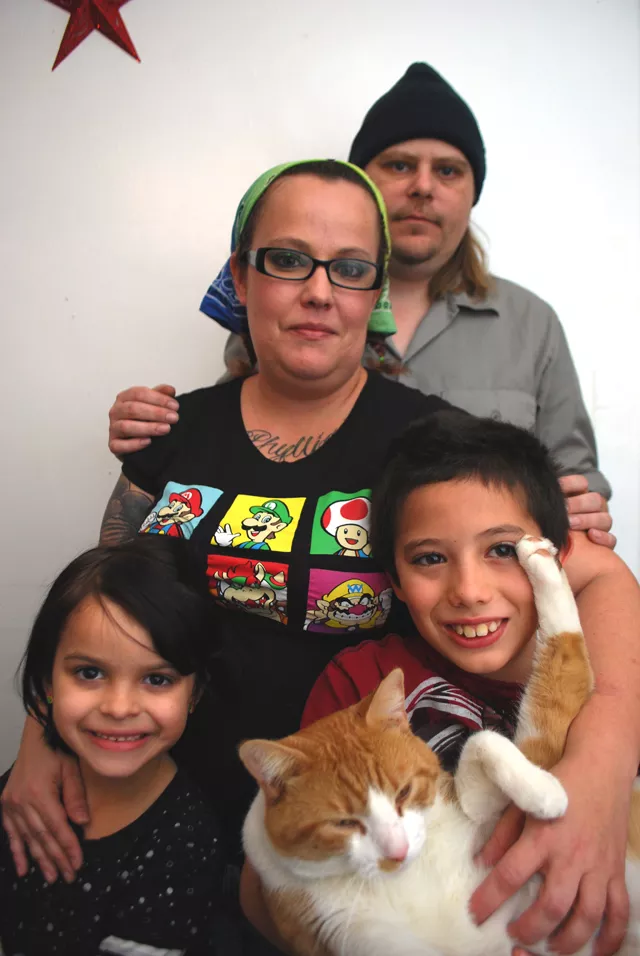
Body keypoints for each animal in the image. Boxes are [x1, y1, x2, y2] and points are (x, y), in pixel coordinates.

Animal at [239, 536, 640, 956]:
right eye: (343, 823)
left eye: (404, 792)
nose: (397, 852)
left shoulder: (502, 837)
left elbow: (504, 726)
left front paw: (543, 791)